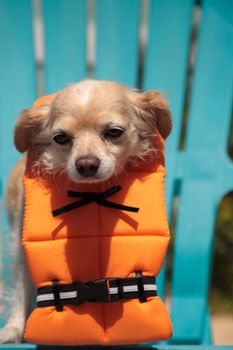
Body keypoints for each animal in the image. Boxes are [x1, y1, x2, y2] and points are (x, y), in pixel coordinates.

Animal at [0, 78, 171, 342]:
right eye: (61, 138)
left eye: (114, 132)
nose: (86, 164)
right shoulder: (20, 244)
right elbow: (19, 287)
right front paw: (14, 328)